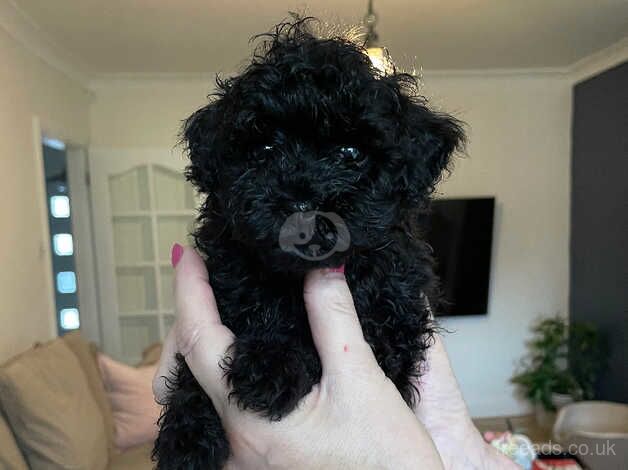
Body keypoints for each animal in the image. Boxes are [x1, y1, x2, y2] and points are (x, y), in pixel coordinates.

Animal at [154, 15, 464, 470]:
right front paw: (187, 438)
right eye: (264, 148)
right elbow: (197, 371)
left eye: (351, 152)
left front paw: (270, 366)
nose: (301, 203)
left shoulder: (390, 316)